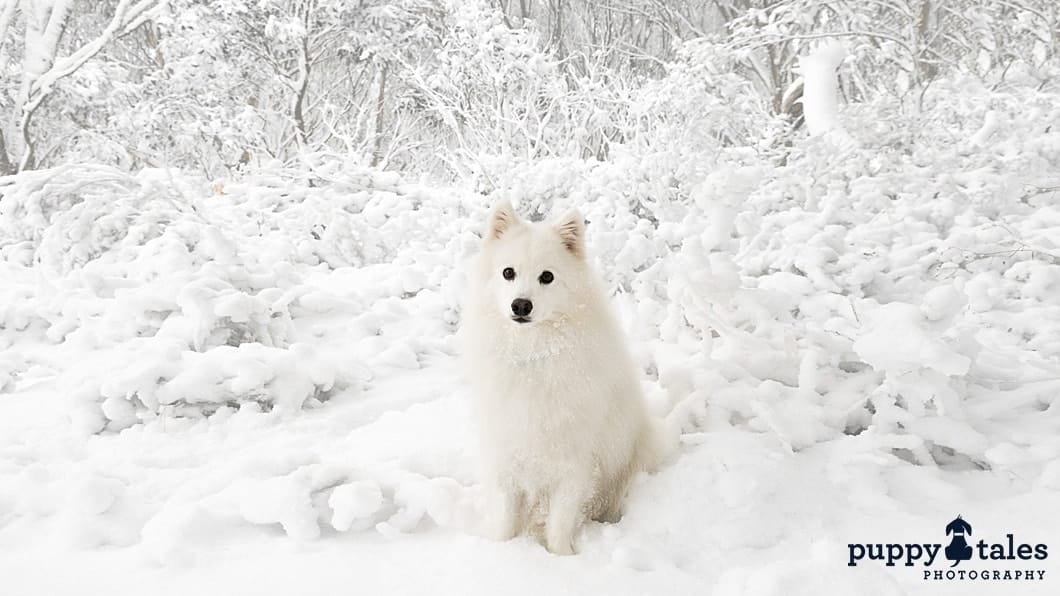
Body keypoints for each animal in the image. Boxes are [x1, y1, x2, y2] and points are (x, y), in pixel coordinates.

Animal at [462, 201, 661, 555]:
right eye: (508, 272)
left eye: (547, 277)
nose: (521, 305)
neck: (532, 355)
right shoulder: (506, 454)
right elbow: (505, 520)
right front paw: (502, 551)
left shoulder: (574, 464)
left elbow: (559, 524)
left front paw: (561, 558)